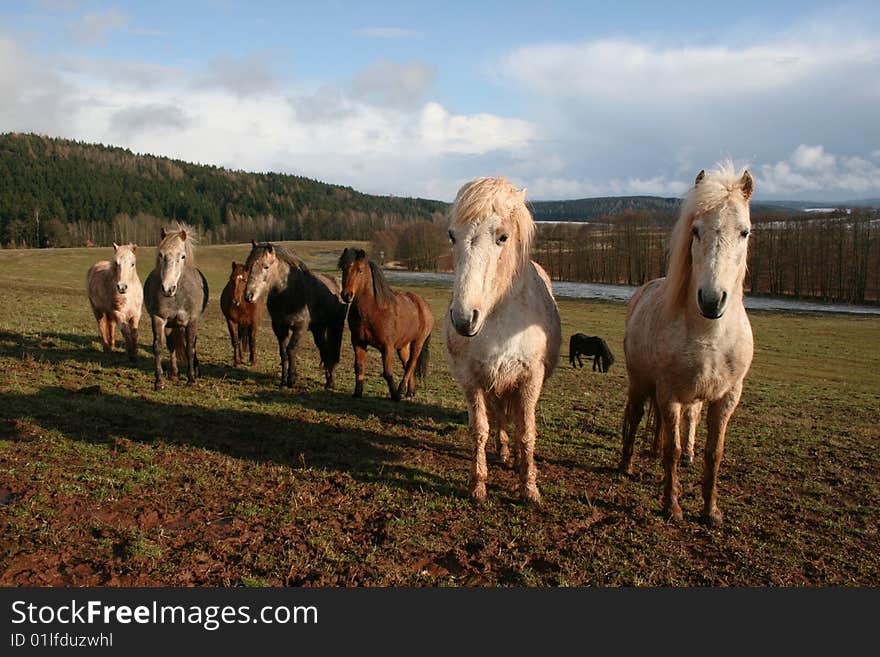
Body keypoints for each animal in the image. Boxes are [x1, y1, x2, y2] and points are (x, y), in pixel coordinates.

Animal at [147, 226, 212, 390]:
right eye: (161, 254)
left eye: (182, 256)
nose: (167, 288)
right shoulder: (158, 319)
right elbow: (158, 346)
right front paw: (159, 381)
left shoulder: (192, 321)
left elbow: (190, 348)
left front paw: (192, 379)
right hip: (172, 325)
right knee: (172, 346)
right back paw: (174, 373)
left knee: (191, 343)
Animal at [336, 246, 434, 400]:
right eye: (343, 268)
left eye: (360, 270)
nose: (347, 295)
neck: (374, 309)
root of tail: (424, 305)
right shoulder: (358, 342)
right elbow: (359, 367)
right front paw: (357, 393)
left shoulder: (387, 347)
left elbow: (388, 372)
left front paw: (395, 396)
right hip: (403, 345)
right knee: (407, 364)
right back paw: (410, 392)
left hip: (418, 342)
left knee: (411, 364)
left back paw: (401, 390)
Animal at [446, 177, 564, 504]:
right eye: (452, 236)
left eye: (503, 237)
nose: (464, 319)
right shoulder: (472, 379)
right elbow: (480, 429)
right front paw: (478, 485)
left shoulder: (530, 379)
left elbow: (526, 432)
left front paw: (530, 488)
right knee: (499, 417)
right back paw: (501, 453)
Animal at [620, 164, 756, 528]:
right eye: (695, 230)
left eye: (744, 232)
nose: (711, 300)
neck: (710, 333)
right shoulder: (668, 392)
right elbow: (672, 450)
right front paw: (672, 506)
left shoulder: (727, 396)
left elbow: (714, 452)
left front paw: (711, 510)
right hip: (641, 383)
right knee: (635, 417)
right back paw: (626, 464)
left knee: (686, 421)